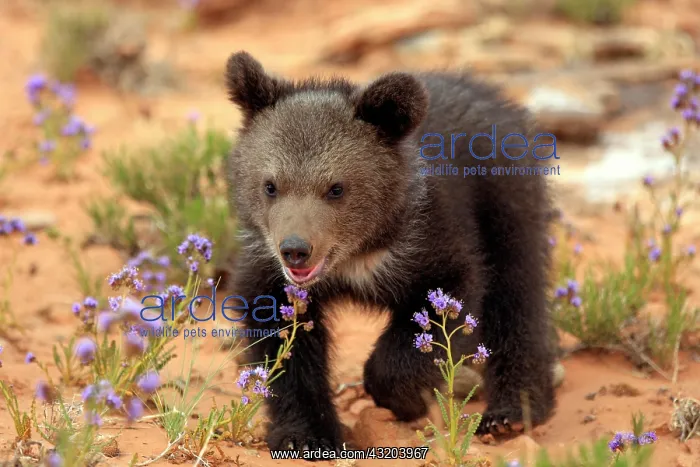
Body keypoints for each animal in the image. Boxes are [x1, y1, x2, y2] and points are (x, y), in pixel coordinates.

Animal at [224, 50, 556, 454]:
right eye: (270, 186)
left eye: (336, 188)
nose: (295, 250)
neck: (358, 254)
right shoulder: (269, 271)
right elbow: (283, 341)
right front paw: (303, 435)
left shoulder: (430, 239)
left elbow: (446, 303)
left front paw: (406, 397)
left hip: (505, 200)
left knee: (517, 294)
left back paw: (511, 412)